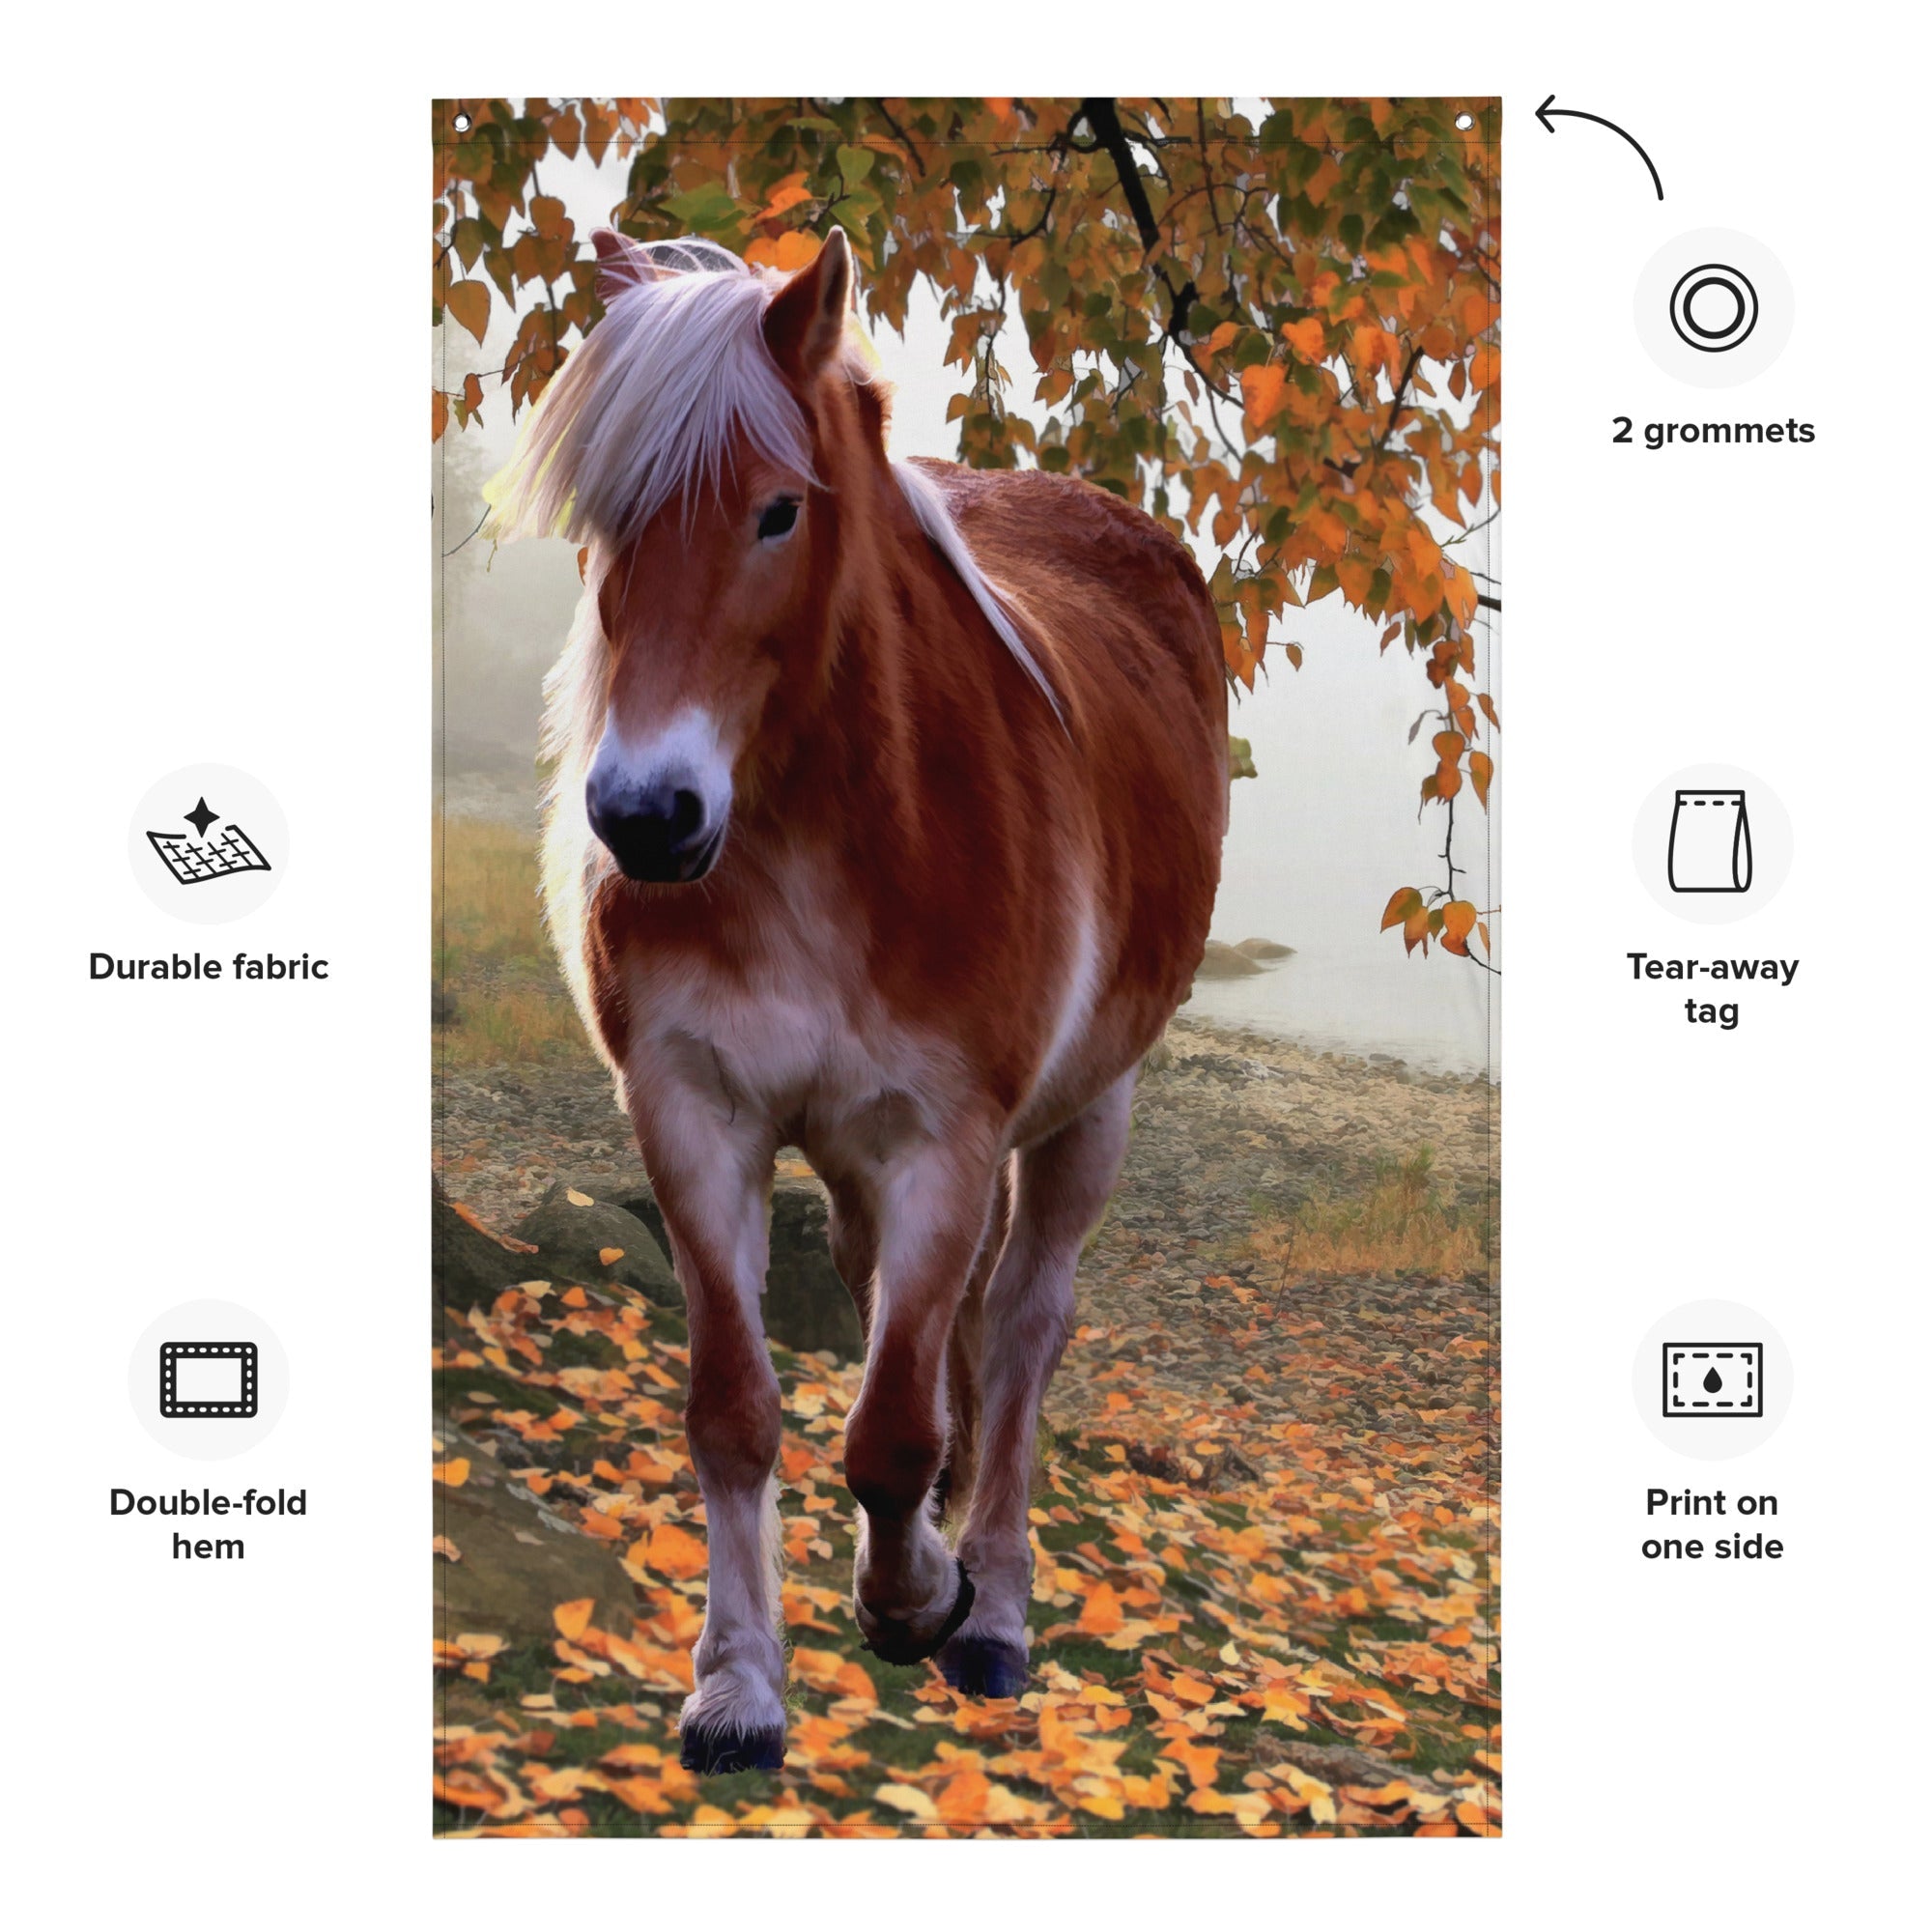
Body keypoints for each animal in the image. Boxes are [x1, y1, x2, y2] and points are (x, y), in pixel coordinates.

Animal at [490, 226, 1227, 1774]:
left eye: (777, 514)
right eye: (604, 521)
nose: (643, 819)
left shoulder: (946, 1136)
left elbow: (895, 1430)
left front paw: (916, 1599)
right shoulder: (695, 1114)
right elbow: (736, 1409)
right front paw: (737, 1684)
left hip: (1091, 1111)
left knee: (1020, 1330)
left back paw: (989, 1607)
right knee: (913, 1307)